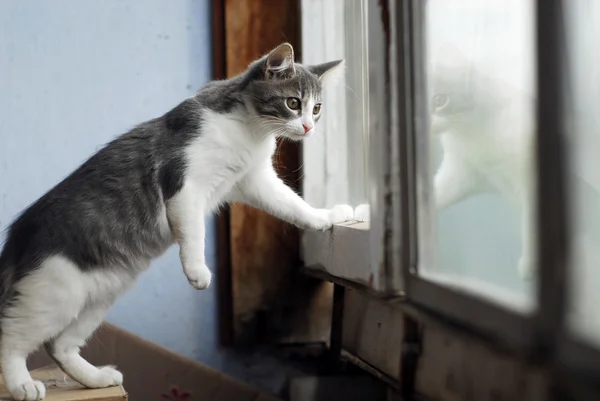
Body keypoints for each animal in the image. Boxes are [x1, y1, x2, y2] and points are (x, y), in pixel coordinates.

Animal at [0, 43, 352, 400]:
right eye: (293, 103)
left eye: (317, 108)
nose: (308, 127)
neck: (249, 131)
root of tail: (19, 232)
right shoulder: (185, 186)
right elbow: (194, 234)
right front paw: (198, 272)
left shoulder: (255, 180)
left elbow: (295, 207)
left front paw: (328, 217)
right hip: (54, 293)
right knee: (10, 336)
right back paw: (22, 385)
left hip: (97, 295)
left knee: (59, 345)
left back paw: (96, 378)